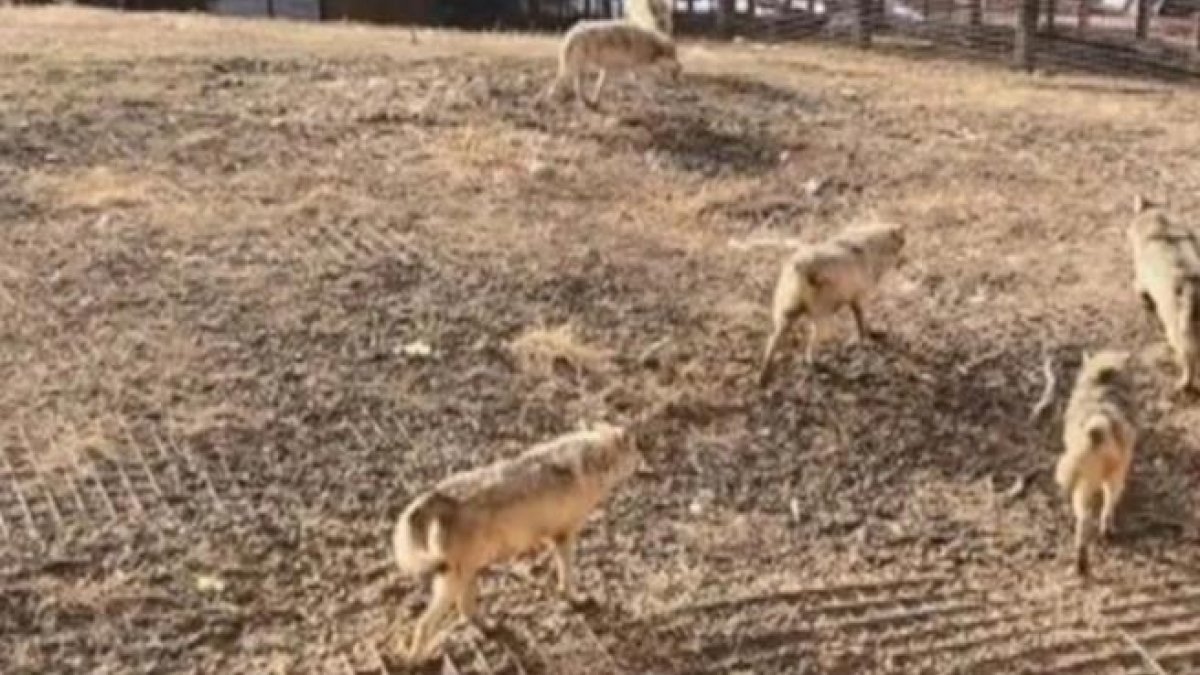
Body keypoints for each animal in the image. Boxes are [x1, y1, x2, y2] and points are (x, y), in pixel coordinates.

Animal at [391, 422, 638, 658]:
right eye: (635, 450)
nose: (642, 460)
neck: (591, 460)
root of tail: (437, 494)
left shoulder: (552, 538)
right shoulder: (565, 536)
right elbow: (567, 577)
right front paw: (575, 599)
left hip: (465, 577)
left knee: (466, 611)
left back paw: (489, 628)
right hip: (454, 582)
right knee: (425, 624)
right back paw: (414, 659)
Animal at [547, 19, 686, 109]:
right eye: (674, 55)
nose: (681, 66)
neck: (653, 49)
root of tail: (569, 35)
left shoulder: (613, 68)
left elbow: (603, 84)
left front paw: (596, 100)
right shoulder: (633, 67)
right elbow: (641, 82)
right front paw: (653, 98)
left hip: (580, 68)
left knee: (575, 84)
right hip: (574, 66)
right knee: (567, 83)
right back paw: (555, 99)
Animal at [763, 223, 902, 386]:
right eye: (900, 239)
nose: (901, 261)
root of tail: (800, 267)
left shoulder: (853, 298)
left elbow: (858, 318)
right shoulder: (859, 295)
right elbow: (861, 319)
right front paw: (868, 337)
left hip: (785, 308)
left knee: (773, 338)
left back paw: (764, 375)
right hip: (821, 315)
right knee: (811, 342)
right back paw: (813, 361)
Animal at [1056, 348, 1137, 576]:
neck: (1103, 380)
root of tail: (1098, 433)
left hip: (1083, 484)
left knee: (1083, 520)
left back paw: (1081, 562)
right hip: (1115, 475)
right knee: (1109, 502)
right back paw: (1107, 529)